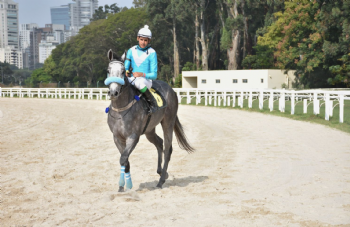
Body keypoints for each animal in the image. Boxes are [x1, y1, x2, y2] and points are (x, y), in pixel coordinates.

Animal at [105, 49, 196, 192]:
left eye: (122, 71)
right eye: (108, 70)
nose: (113, 92)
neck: (121, 109)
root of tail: (171, 89)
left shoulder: (133, 136)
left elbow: (123, 158)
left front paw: (127, 185)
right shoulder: (117, 137)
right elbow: (125, 160)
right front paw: (121, 188)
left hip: (168, 122)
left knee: (168, 149)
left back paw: (161, 180)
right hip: (149, 130)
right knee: (159, 142)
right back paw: (161, 172)